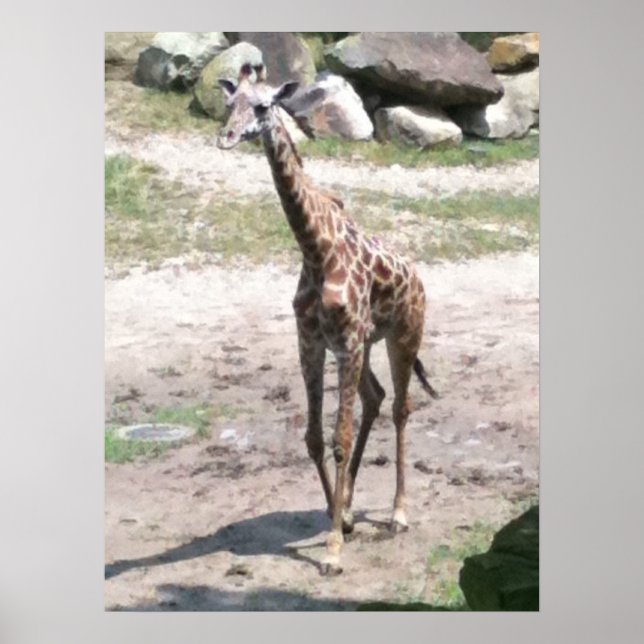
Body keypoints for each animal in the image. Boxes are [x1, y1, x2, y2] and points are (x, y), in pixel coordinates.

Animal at [216, 64, 439, 575]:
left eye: (263, 106)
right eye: (229, 103)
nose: (227, 137)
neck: (315, 250)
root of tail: (418, 278)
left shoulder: (348, 343)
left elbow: (340, 437)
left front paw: (334, 549)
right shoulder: (313, 343)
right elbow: (316, 438)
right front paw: (341, 517)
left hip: (402, 336)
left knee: (400, 408)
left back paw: (398, 514)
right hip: (364, 345)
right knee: (376, 398)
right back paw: (353, 505)